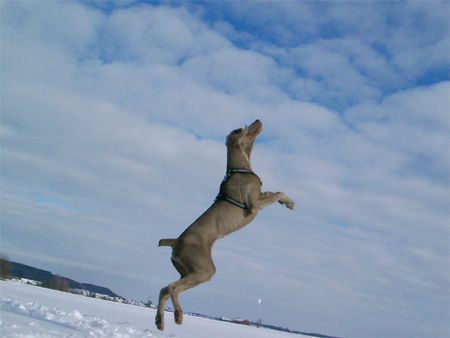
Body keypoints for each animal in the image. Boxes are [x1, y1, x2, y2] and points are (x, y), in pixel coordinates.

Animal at [156, 120, 296, 332]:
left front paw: (286, 202)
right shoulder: (253, 205)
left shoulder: (260, 197)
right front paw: (288, 202)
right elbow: (278, 192)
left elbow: (273, 192)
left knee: (164, 289)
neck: (240, 168)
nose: (258, 120)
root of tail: (176, 241)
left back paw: (160, 321)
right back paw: (178, 315)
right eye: (243, 128)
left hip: (187, 270)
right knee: (172, 286)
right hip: (204, 269)